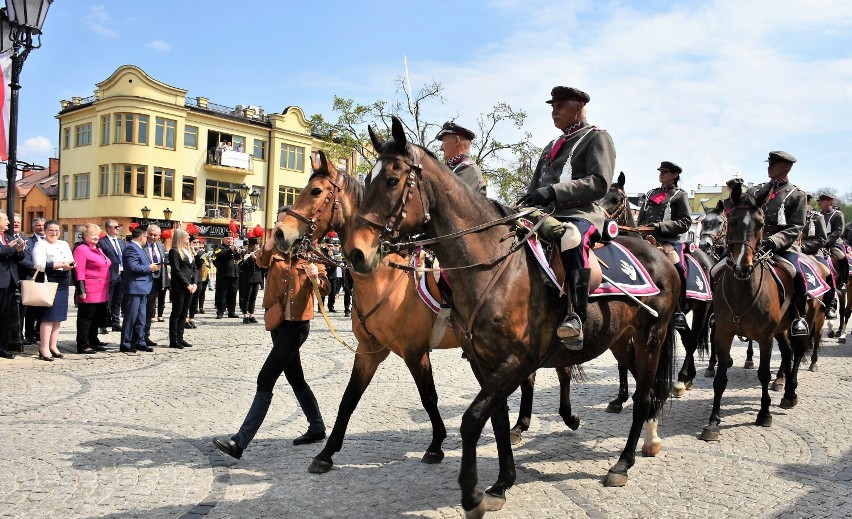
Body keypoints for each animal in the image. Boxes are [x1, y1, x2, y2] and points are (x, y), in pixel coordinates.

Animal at [276, 150, 576, 476]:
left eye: (316, 191)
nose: (280, 233)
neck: (384, 277)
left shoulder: (414, 351)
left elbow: (428, 397)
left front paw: (436, 444)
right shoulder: (369, 351)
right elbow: (349, 400)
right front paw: (326, 453)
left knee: (551, 371)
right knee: (530, 376)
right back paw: (521, 425)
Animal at [346, 119, 680, 519]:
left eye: (393, 180)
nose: (356, 253)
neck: (492, 264)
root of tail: (660, 257)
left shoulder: (517, 360)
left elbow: (473, 419)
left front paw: (472, 494)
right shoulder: (483, 361)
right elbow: (498, 418)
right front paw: (502, 483)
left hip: (650, 339)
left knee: (645, 396)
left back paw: (623, 463)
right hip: (621, 341)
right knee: (642, 390)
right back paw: (644, 439)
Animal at [604, 173, 716, 412]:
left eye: (616, 199)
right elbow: (621, 361)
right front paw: (620, 398)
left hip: (702, 309)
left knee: (693, 341)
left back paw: (681, 379)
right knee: (688, 339)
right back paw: (688, 377)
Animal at [704, 184, 824, 442]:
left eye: (760, 224)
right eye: (732, 221)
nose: (743, 266)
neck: (743, 289)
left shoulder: (765, 338)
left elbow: (763, 374)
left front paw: (764, 414)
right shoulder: (723, 334)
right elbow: (720, 378)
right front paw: (713, 421)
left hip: (805, 323)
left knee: (798, 353)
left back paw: (789, 393)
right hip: (781, 330)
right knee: (788, 353)